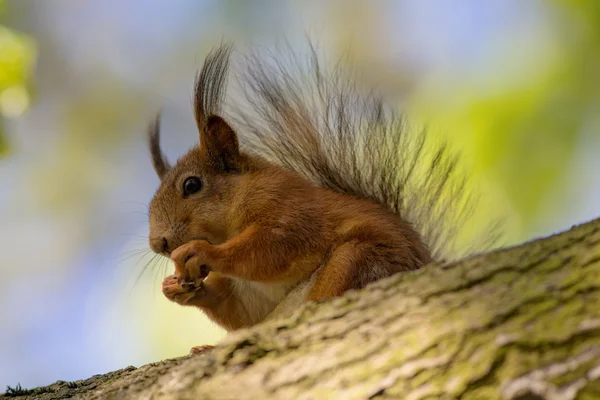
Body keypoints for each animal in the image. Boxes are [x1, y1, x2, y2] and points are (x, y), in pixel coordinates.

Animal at [146, 43, 496, 350]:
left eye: (192, 185)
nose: (158, 244)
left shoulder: (289, 210)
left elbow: (269, 250)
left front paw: (200, 251)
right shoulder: (246, 293)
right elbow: (242, 311)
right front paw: (174, 288)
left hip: (356, 261)